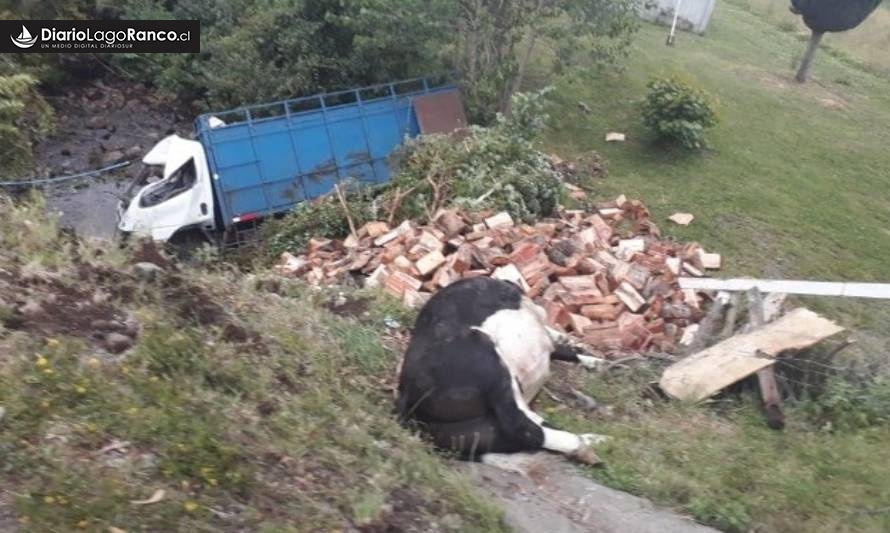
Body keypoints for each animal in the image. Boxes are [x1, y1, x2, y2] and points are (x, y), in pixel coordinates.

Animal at [398, 276, 600, 464]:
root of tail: (406, 397)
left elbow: (567, 351)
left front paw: (596, 362)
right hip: (487, 357)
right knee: (521, 427)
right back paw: (584, 446)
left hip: (470, 432)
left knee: (528, 427)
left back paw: (592, 440)